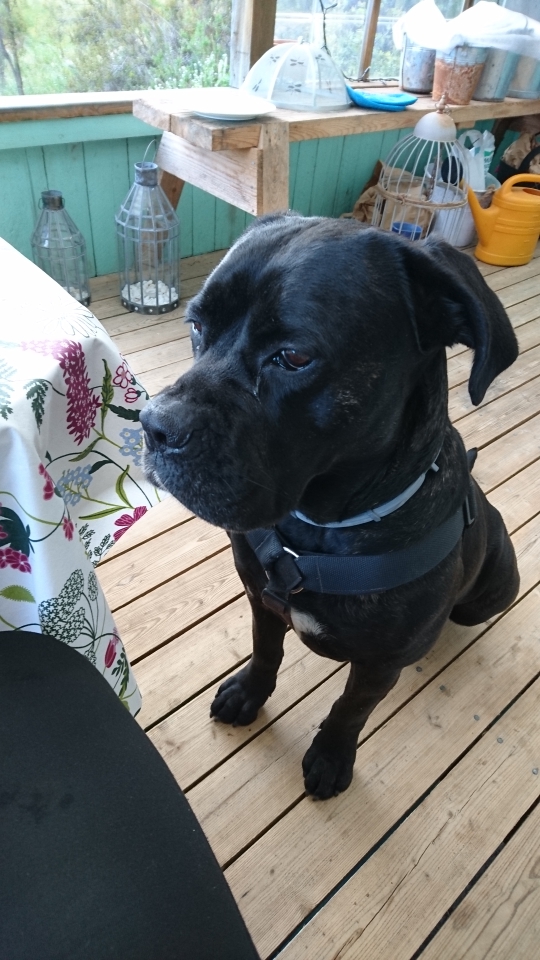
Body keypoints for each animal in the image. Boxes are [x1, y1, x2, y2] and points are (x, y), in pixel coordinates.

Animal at [140, 214, 520, 800]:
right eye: (196, 325)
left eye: (294, 357)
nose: (154, 424)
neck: (317, 529)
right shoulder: (261, 599)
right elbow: (265, 652)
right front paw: (250, 693)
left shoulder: (379, 663)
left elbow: (351, 708)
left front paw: (331, 756)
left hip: (495, 589)